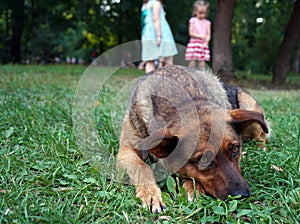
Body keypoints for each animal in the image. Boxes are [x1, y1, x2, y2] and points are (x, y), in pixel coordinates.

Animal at [116, 65, 268, 214]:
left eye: (235, 149)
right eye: (203, 160)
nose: (243, 196)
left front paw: (192, 188)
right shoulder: (127, 149)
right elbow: (142, 167)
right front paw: (150, 192)